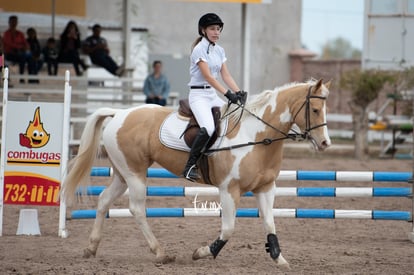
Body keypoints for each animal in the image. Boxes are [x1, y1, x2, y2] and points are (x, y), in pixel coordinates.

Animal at [63, 78, 332, 268]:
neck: (257, 136)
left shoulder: (266, 188)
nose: (325, 143)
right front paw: (202, 252)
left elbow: (269, 223)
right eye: (315, 109)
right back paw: (160, 253)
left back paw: (91, 248)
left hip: (122, 174)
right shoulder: (229, 189)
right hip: (135, 174)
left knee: (103, 200)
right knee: (137, 209)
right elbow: (228, 228)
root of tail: (119, 113)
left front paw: (278, 258)